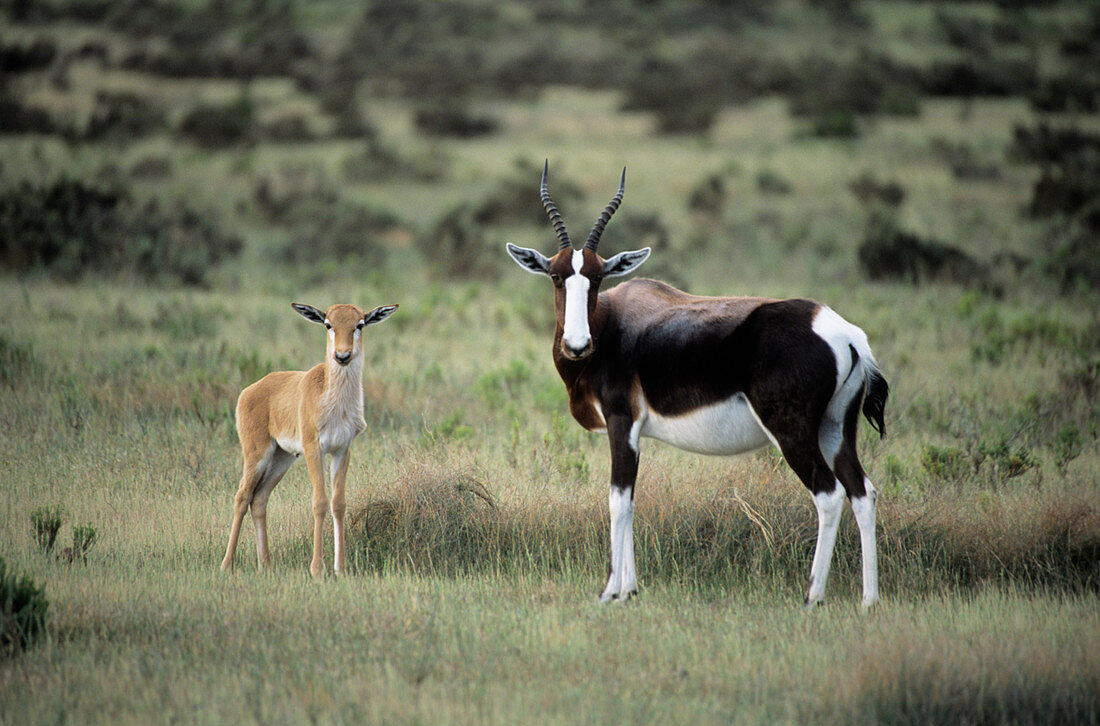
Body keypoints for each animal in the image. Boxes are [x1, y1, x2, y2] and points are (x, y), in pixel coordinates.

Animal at [221, 299, 398, 572]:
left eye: (359, 324)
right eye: (328, 324)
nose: (342, 356)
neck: (334, 401)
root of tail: (249, 390)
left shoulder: (342, 450)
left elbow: (338, 503)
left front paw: (340, 568)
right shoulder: (315, 449)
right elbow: (320, 502)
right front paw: (317, 568)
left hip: (282, 459)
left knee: (259, 499)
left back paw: (266, 565)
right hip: (257, 455)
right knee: (242, 496)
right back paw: (227, 564)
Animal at [506, 162, 884, 607]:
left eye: (597, 278)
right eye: (556, 275)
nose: (577, 345)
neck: (613, 325)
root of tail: (845, 333)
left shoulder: (621, 422)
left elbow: (617, 500)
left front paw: (610, 592)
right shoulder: (636, 432)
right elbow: (631, 499)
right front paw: (630, 590)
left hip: (792, 431)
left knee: (828, 495)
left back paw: (812, 598)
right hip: (836, 430)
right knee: (862, 493)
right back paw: (869, 600)